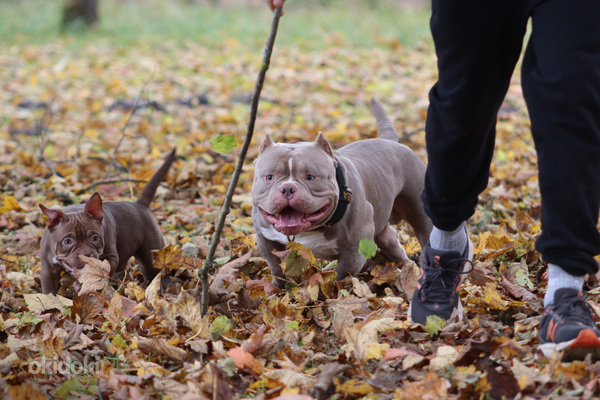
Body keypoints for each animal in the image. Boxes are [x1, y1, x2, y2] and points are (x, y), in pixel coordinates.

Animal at [39, 148, 176, 292]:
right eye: (67, 242)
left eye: (95, 238)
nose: (86, 254)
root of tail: (140, 205)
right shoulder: (47, 270)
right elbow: (48, 290)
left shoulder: (111, 257)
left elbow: (102, 269)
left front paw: (83, 282)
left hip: (150, 254)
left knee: (153, 273)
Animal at [252, 98, 432, 286]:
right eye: (269, 177)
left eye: (310, 177)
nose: (287, 188)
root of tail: (390, 142)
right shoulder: (264, 239)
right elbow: (275, 266)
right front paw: (278, 288)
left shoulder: (355, 250)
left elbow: (340, 277)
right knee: (388, 238)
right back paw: (404, 265)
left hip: (419, 209)